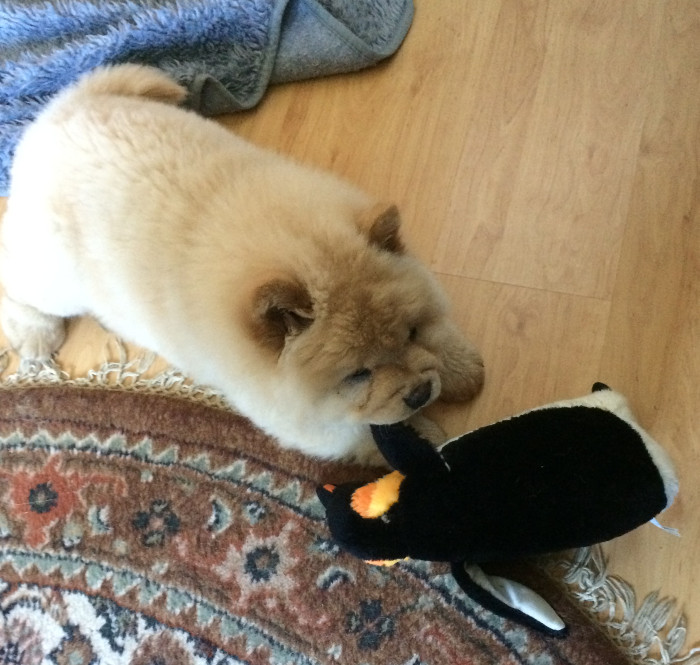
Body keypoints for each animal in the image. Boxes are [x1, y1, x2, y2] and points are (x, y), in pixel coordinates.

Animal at [0, 65, 484, 463]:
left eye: (412, 332)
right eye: (358, 375)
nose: (421, 392)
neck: (290, 245)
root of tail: (61, 109)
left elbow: (442, 335)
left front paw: (462, 372)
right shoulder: (302, 418)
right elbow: (366, 435)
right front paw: (431, 443)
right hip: (55, 278)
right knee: (16, 280)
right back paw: (34, 334)